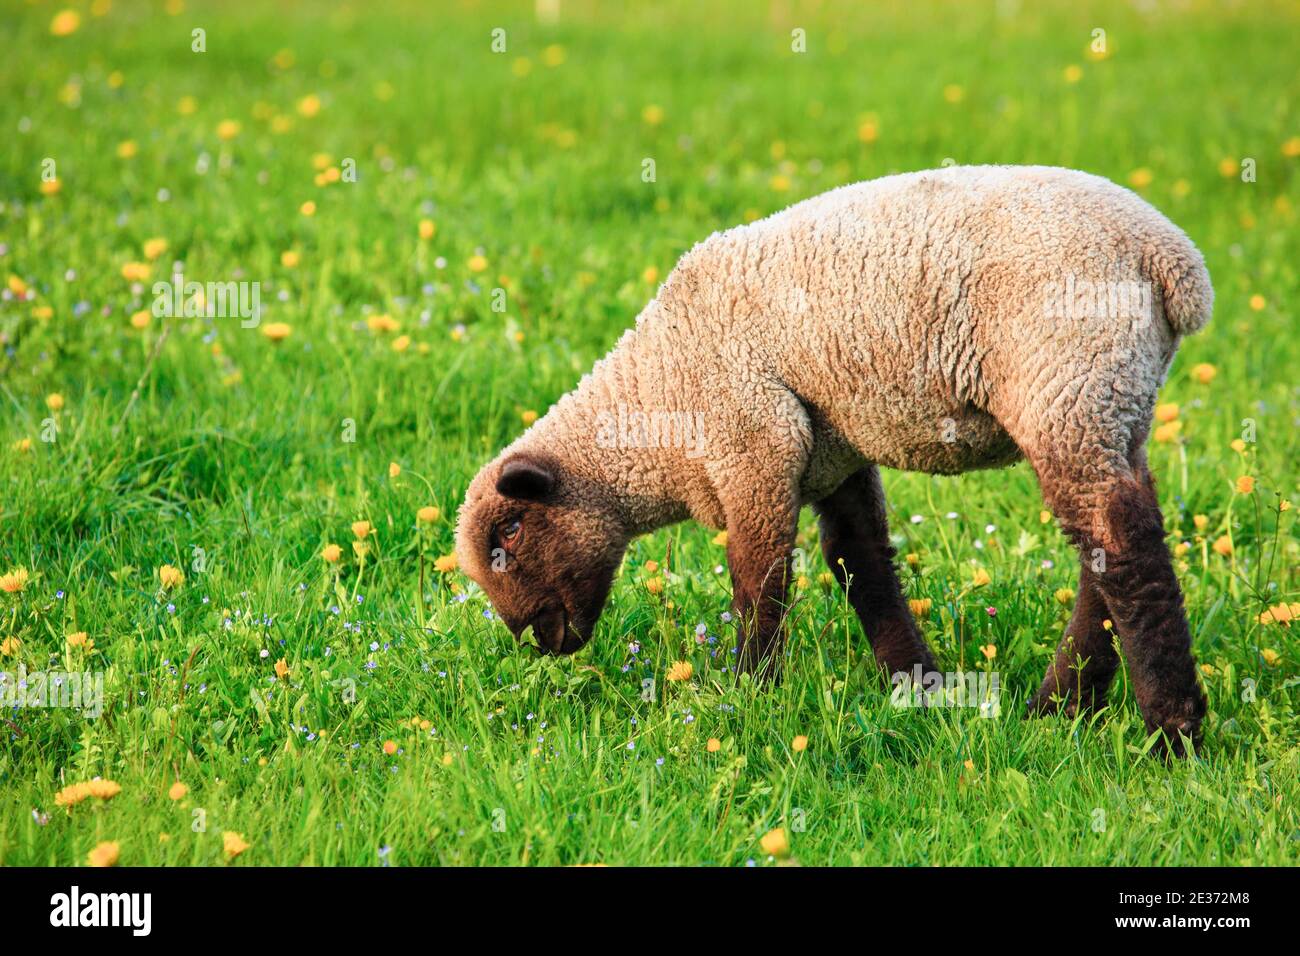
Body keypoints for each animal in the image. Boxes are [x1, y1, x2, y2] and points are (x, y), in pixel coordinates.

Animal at [454, 167, 1206, 759]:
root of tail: (1171, 260)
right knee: (1103, 550)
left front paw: (749, 695)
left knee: (1124, 548)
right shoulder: (832, 456)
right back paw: (1061, 709)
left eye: (509, 533)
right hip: (1113, 404)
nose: (534, 639)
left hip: (1066, 383)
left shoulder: (754, 443)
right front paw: (919, 687)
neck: (659, 396)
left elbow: (758, 582)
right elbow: (861, 564)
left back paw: (1173, 734)